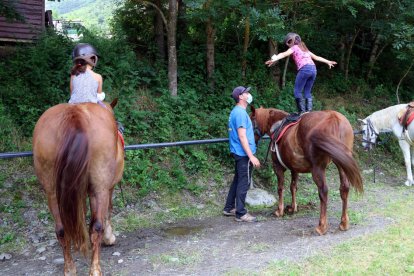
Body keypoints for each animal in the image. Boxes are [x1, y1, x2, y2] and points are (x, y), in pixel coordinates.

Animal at [32, 101, 123, 276]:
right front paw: (109, 237)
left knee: (61, 229)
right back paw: (95, 269)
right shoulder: (108, 188)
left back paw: (69, 268)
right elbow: (108, 211)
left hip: (52, 192)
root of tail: (75, 115)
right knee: (97, 227)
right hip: (100, 188)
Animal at [249, 106, 362, 235]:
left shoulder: (278, 167)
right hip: (340, 164)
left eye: (250, 120)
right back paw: (344, 223)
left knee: (323, 191)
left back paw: (321, 226)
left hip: (318, 169)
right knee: (344, 188)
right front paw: (293, 208)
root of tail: (333, 118)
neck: (277, 125)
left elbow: (280, 188)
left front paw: (280, 210)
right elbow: (293, 187)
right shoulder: (294, 168)